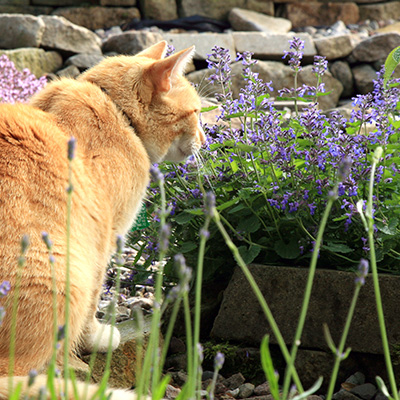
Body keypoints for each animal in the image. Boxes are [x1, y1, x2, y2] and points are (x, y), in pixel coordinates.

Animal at [0, 39, 206, 396]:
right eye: (195, 113)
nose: (206, 141)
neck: (118, 112)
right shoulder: (104, 237)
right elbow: (98, 297)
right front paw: (95, 338)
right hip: (65, 274)